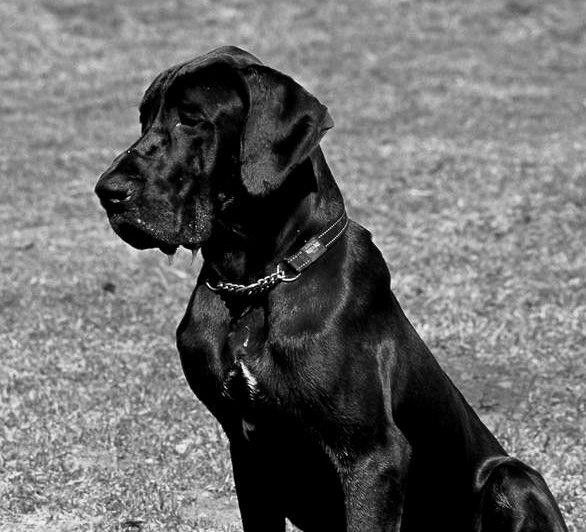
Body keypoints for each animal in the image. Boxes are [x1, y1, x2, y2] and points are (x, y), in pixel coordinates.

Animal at [95, 46, 568, 531]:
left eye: (190, 119)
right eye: (144, 118)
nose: (107, 191)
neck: (253, 283)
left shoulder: (371, 456)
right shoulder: (248, 454)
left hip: (514, 477)